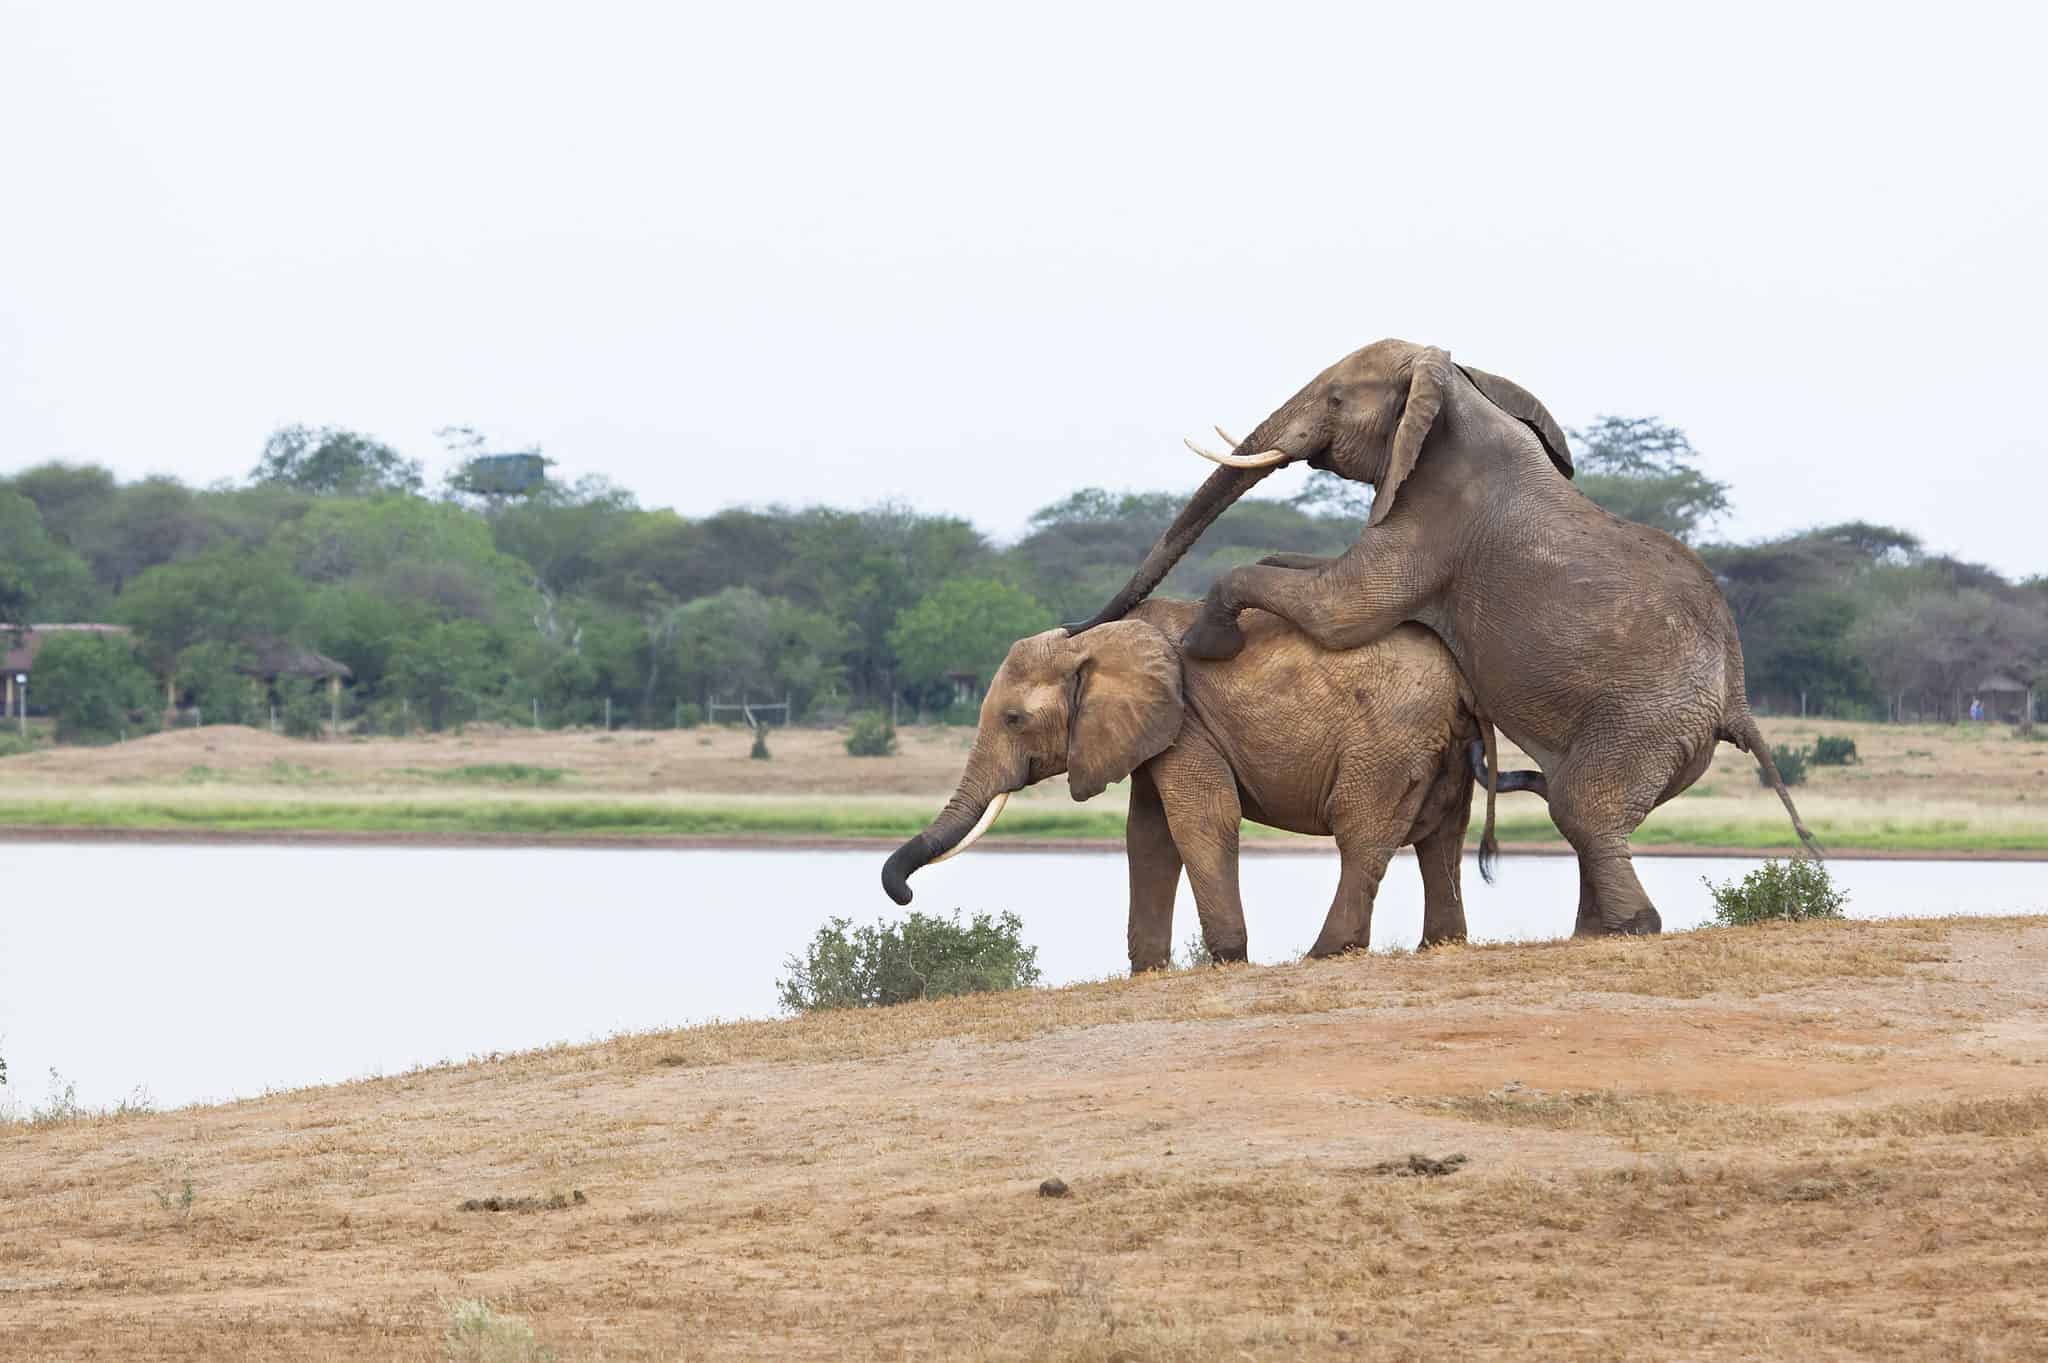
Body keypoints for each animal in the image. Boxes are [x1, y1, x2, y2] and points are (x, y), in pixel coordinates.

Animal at [876, 597, 1540, 965]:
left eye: (1014, 719)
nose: (905, 896)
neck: (1103, 639)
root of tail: (1462, 681)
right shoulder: (1152, 731)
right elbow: (1147, 836)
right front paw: (1147, 970)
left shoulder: (1186, 723)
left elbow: (1200, 818)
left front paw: (1226, 961)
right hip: (1439, 743)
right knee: (1441, 838)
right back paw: (1440, 946)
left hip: (1390, 737)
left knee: (1363, 832)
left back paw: (1324, 954)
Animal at [1064, 337, 1818, 933]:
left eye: (1336, 397)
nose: (1073, 624)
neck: (1454, 385)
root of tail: (1738, 701)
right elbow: (1304, 572)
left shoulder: (1439, 516)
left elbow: (1341, 607)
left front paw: (1207, 644)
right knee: (1581, 811)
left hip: (1647, 721)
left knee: (1583, 810)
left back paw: (1629, 928)